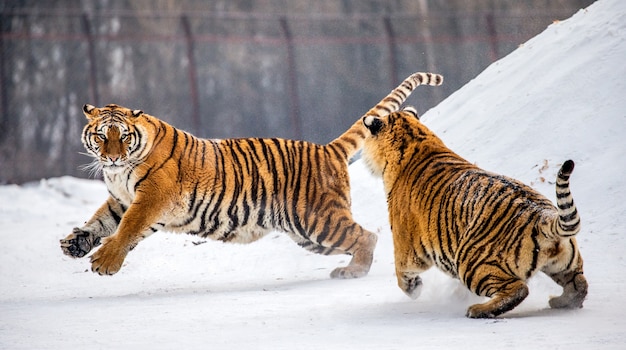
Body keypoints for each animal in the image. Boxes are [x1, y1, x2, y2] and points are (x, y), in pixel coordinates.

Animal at [57, 72, 438, 278]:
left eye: (122, 136)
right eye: (101, 136)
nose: (111, 156)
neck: (120, 172)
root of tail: (326, 148)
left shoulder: (150, 198)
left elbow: (126, 229)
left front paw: (104, 262)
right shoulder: (121, 199)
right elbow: (101, 222)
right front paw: (75, 243)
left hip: (318, 221)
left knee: (367, 236)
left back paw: (353, 272)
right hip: (308, 235)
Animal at [358, 106, 588, 318]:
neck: (416, 141)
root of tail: (542, 215)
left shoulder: (408, 248)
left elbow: (401, 272)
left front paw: (414, 289)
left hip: (472, 263)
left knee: (517, 289)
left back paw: (478, 310)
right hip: (565, 262)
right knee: (579, 284)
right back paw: (559, 302)